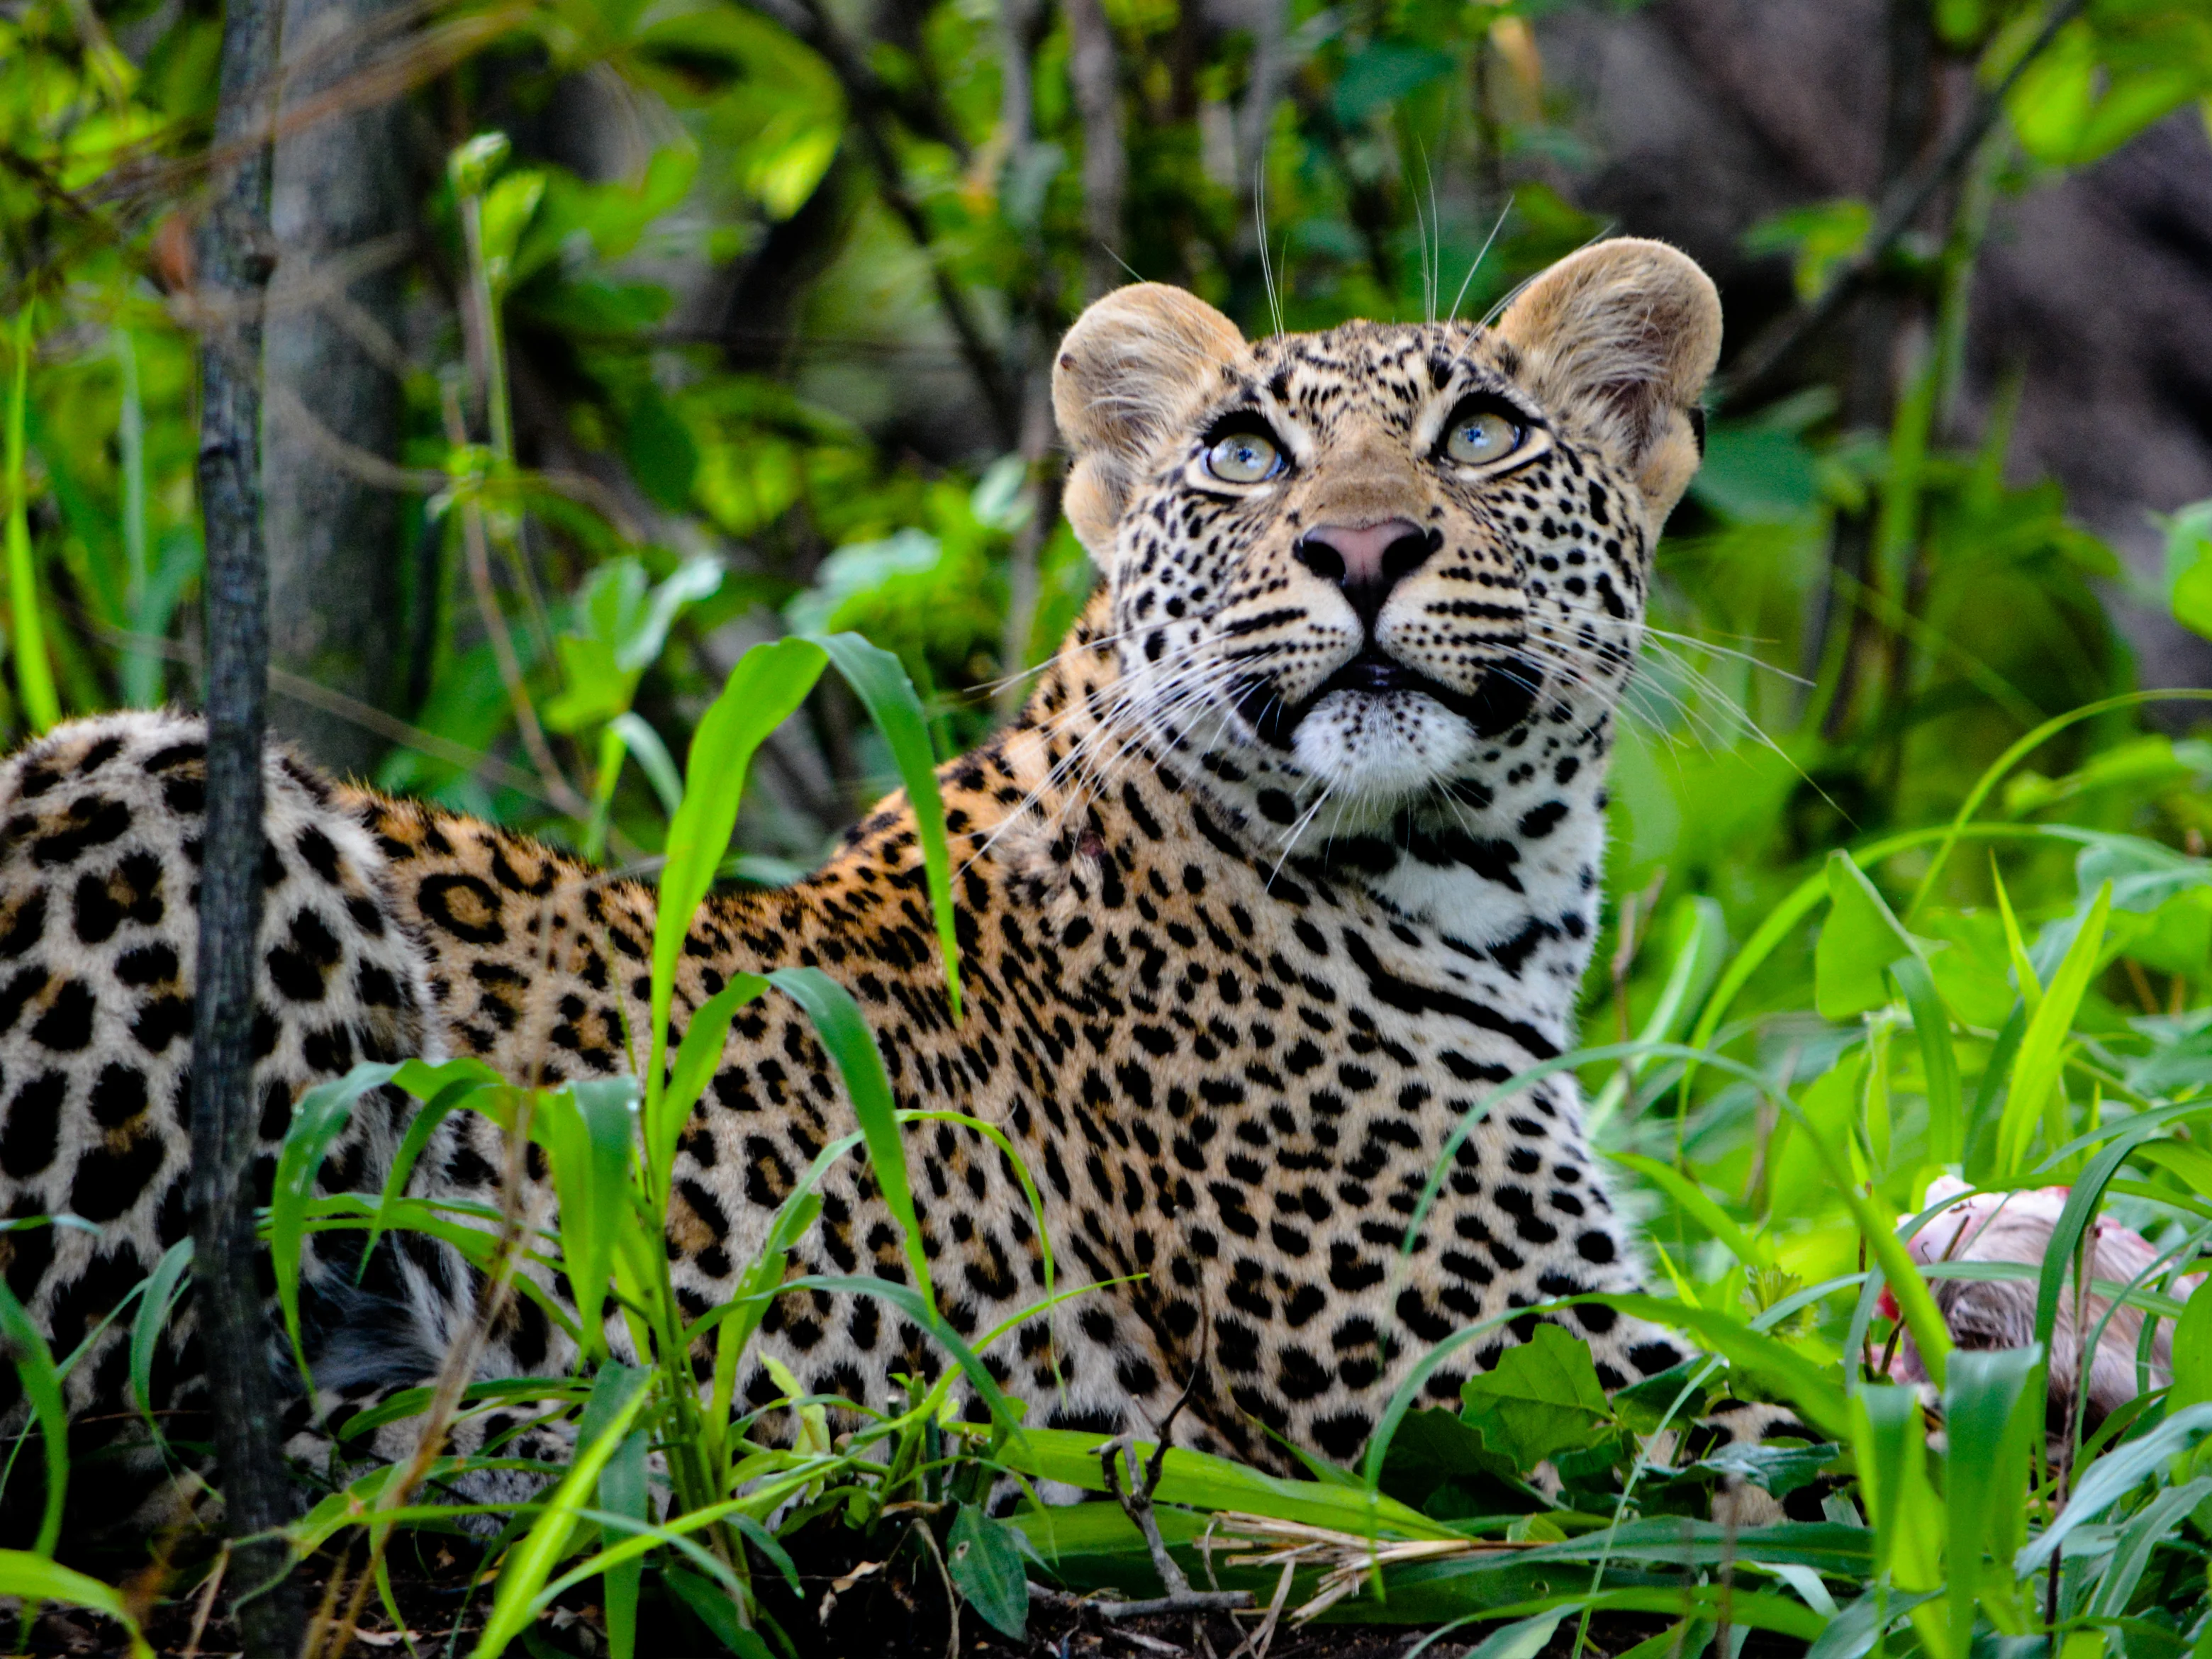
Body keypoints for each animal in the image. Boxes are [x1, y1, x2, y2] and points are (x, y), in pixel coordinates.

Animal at [0, 237, 1797, 1535]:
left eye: (1482, 436)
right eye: (1241, 453)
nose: (1357, 550)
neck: (1478, 874)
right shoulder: (1491, 1365)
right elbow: (1814, 1419)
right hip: (153, 788)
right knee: (147, 1427)